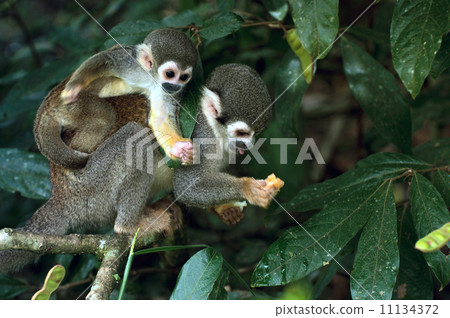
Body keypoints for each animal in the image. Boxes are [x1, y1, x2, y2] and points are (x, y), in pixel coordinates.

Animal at [34, 29, 198, 169]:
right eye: (170, 74)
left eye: (184, 77)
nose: (175, 86)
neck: (152, 78)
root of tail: (47, 109)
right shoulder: (132, 63)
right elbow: (107, 60)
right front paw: (75, 86)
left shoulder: (166, 91)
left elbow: (160, 117)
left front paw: (179, 148)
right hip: (71, 108)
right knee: (104, 117)